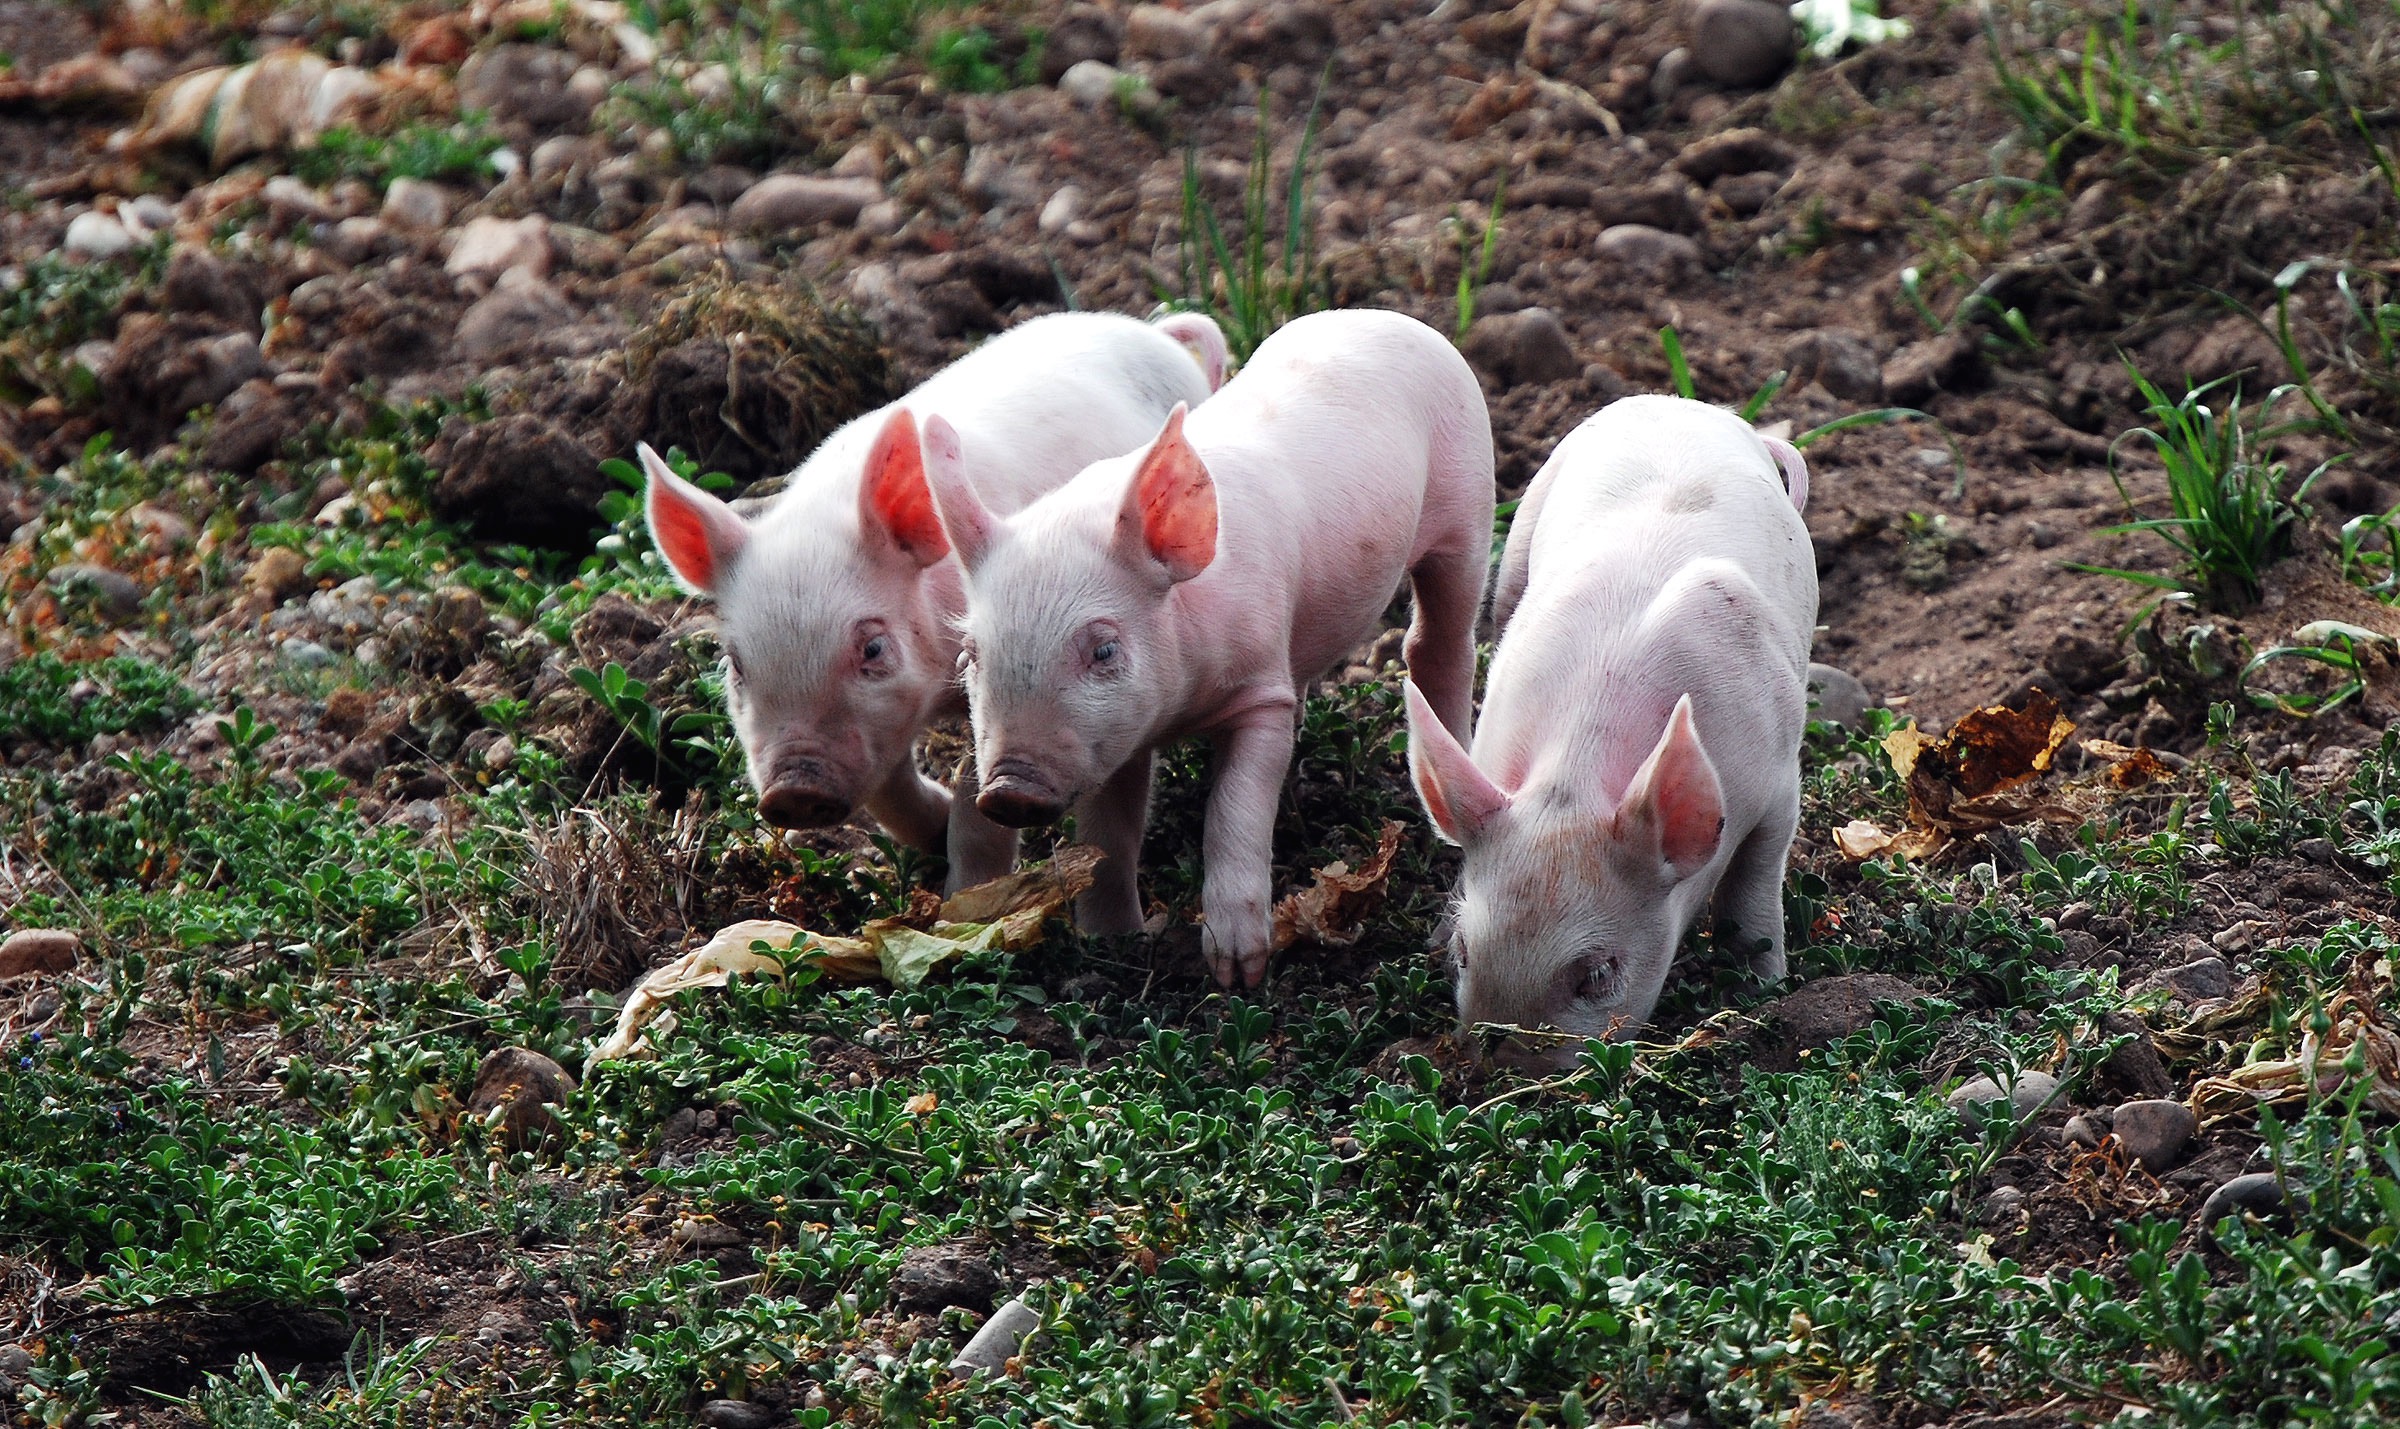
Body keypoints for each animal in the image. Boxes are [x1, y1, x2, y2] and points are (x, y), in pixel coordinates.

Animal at [640, 309, 1229, 890]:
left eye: (873, 649)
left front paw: (963, 884)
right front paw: (936, 830)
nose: (792, 789)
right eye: (734, 665)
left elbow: (974, 804)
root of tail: (1152, 331)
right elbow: (888, 787)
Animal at [920, 307, 1495, 989]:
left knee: (1440, 639)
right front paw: (1113, 940)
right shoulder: (1128, 733)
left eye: (1104, 650)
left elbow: (1233, 809)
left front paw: (1238, 973)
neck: (1182, 709)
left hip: (1469, 507)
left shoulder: (1259, 694)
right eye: (970, 655)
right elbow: (1112, 830)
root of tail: (1385, 316)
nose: (1008, 788)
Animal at [1403, 394, 1818, 1059]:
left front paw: (1763, 990)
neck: (1575, 779)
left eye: (1598, 974)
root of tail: (1686, 404)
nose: (1495, 1072)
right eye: (1464, 952)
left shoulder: (1779, 781)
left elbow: (1753, 886)